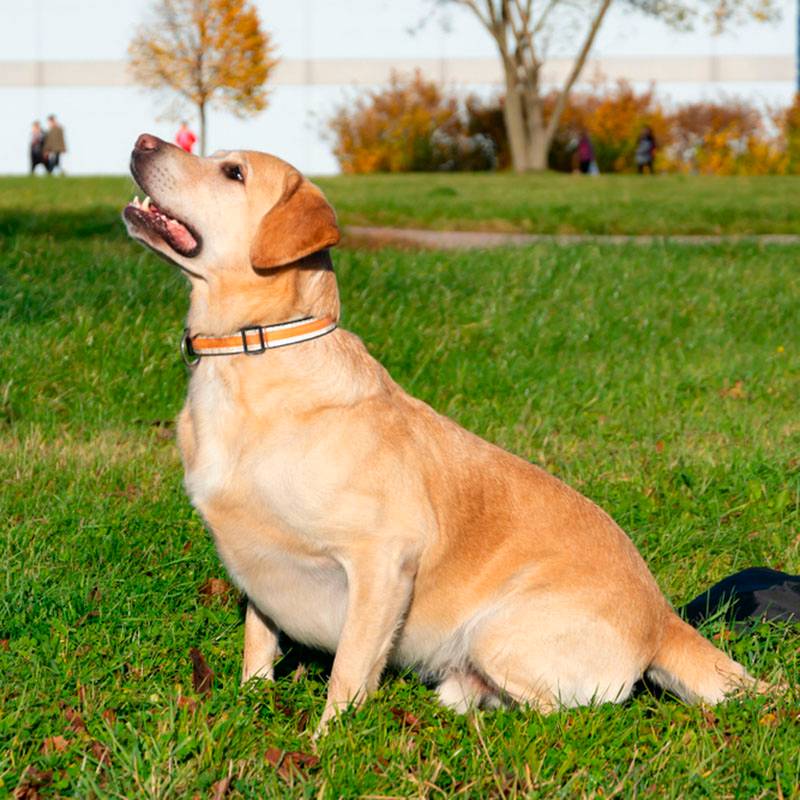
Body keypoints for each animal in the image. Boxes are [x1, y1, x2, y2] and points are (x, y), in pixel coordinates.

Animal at [123, 134, 764, 728]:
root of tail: (662, 618)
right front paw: (250, 703)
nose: (142, 141)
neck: (251, 353)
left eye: (233, 173)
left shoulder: (383, 558)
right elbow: (258, 641)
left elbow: (350, 669)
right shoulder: (260, 565)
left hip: (496, 632)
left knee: (568, 713)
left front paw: (328, 741)